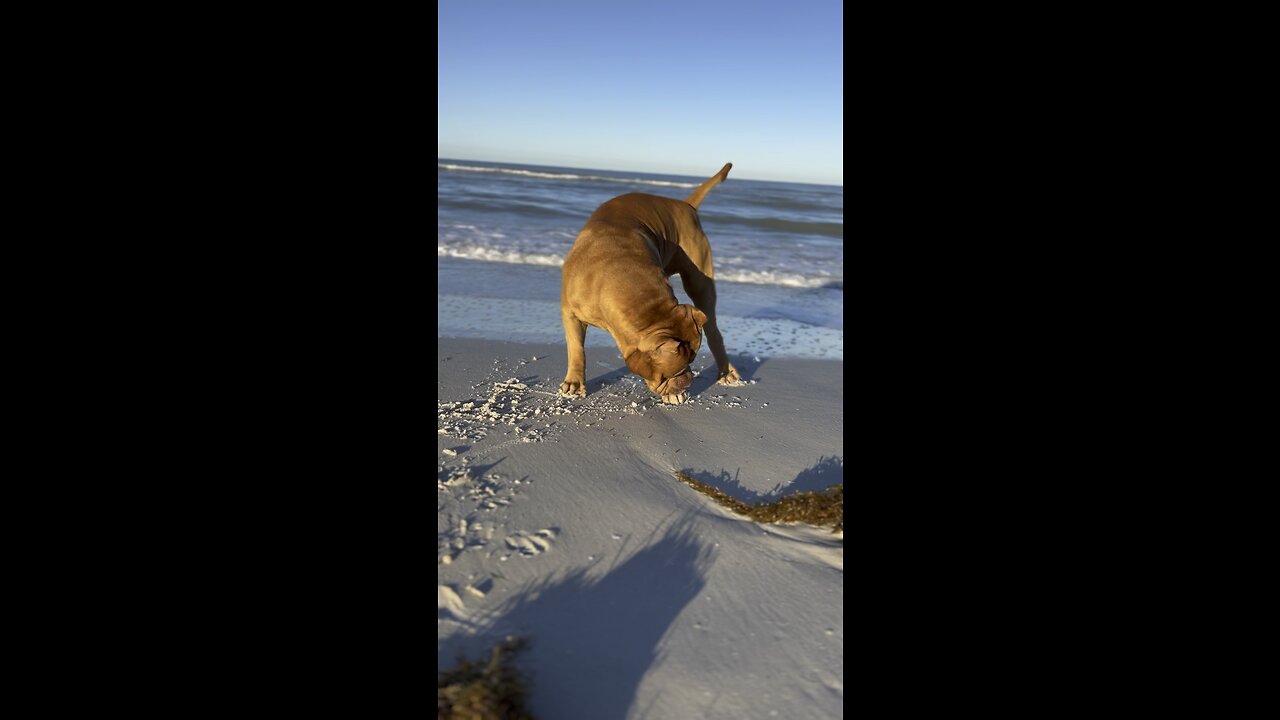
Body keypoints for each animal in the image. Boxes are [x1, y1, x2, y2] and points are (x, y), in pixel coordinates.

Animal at [558, 160, 742, 404]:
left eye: (691, 363)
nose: (688, 380)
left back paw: (726, 370)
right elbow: (576, 348)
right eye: (675, 371)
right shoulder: (570, 312)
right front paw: (574, 381)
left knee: (713, 329)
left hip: (700, 282)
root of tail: (685, 205)